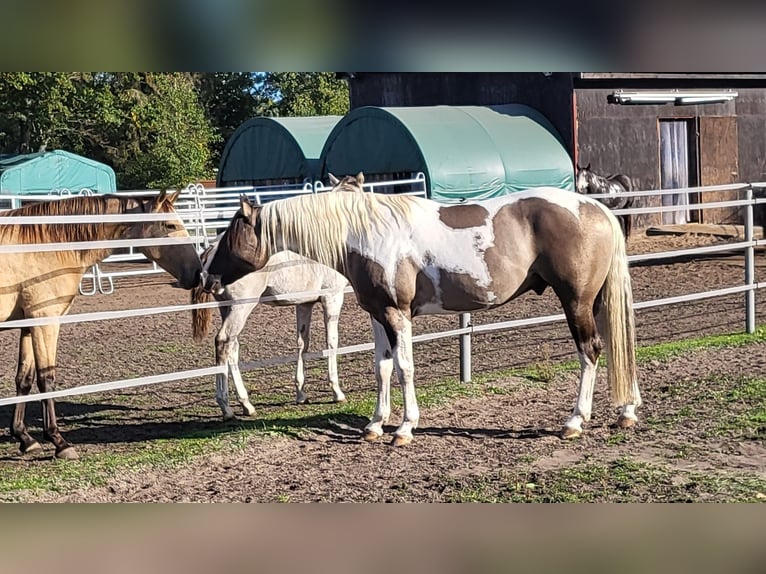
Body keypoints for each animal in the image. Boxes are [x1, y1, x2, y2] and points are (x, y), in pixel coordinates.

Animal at [0, 191, 202, 462]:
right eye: (169, 225)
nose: (198, 273)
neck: (46, 245)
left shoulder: (29, 324)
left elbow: (24, 379)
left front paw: (25, 438)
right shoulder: (45, 320)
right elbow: (47, 379)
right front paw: (59, 442)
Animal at [202, 178, 640, 448]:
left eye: (232, 231)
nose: (208, 274)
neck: (366, 234)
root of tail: (596, 208)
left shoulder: (398, 314)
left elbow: (404, 368)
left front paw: (404, 428)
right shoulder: (378, 314)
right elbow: (381, 368)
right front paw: (375, 425)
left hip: (576, 301)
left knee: (590, 350)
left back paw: (575, 421)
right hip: (595, 300)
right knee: (615, 345)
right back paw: (626, 412)